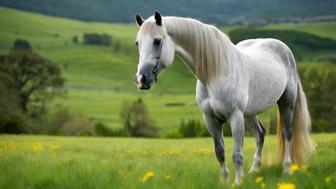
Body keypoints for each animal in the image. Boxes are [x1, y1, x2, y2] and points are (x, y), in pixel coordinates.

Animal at [133, 11, 314, 183]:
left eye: (157, 41)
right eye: (137, 43)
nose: (141, 79)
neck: (215, 74)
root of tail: (283, 48)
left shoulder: (235, 117)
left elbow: (237, 154)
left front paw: (238, 181)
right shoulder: (211, 119)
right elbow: (220, 152)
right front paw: (225, 180)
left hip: (286, 103)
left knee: (287, 133)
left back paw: (287, 169)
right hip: (250, 113)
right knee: (260, 134)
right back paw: (254, 170)